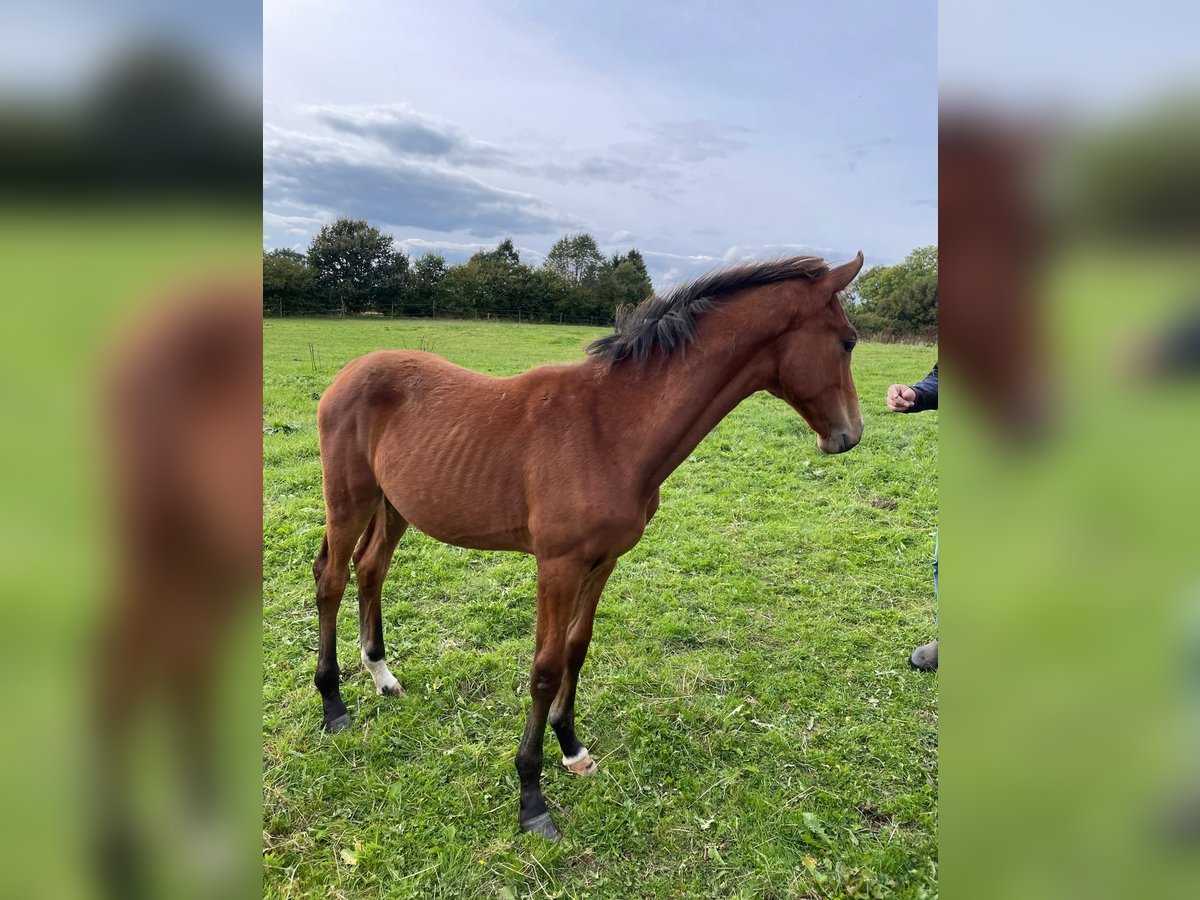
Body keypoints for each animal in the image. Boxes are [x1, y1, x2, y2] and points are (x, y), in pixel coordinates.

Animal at [314, 252, 868, 840]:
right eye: (848, 341)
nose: (849, 435)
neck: (611, 429)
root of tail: (348, 371)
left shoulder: (603, 562)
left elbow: (576, 651)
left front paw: (571, 748)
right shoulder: (557, 566)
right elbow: (545, 667)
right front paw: (531, 796)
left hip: (395, 504)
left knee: (371, 568)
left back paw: (382, 676)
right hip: (348, 500)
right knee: (332, 577)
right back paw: (333, 704)